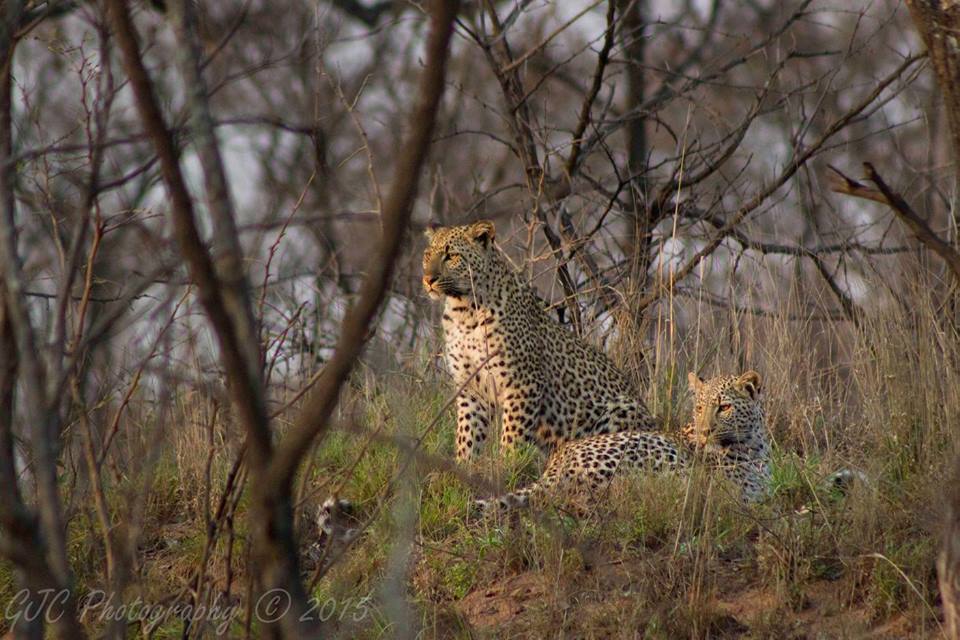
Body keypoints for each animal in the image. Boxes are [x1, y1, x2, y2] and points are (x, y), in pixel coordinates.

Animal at [422, 220, 658, 462]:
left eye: (451, 256)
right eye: (427, 255)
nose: (428, 279)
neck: (463, 311)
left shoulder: (523, 383)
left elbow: (512, 438)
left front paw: (506, 466)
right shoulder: (470, 388)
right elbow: (467, 437)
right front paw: (463, 466)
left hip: (620, 409)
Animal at [474, 370, 772, 512]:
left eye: (724, 407)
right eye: (699, 408)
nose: (704, 432)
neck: (754, 445)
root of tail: (554, 465)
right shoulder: (740, 492)